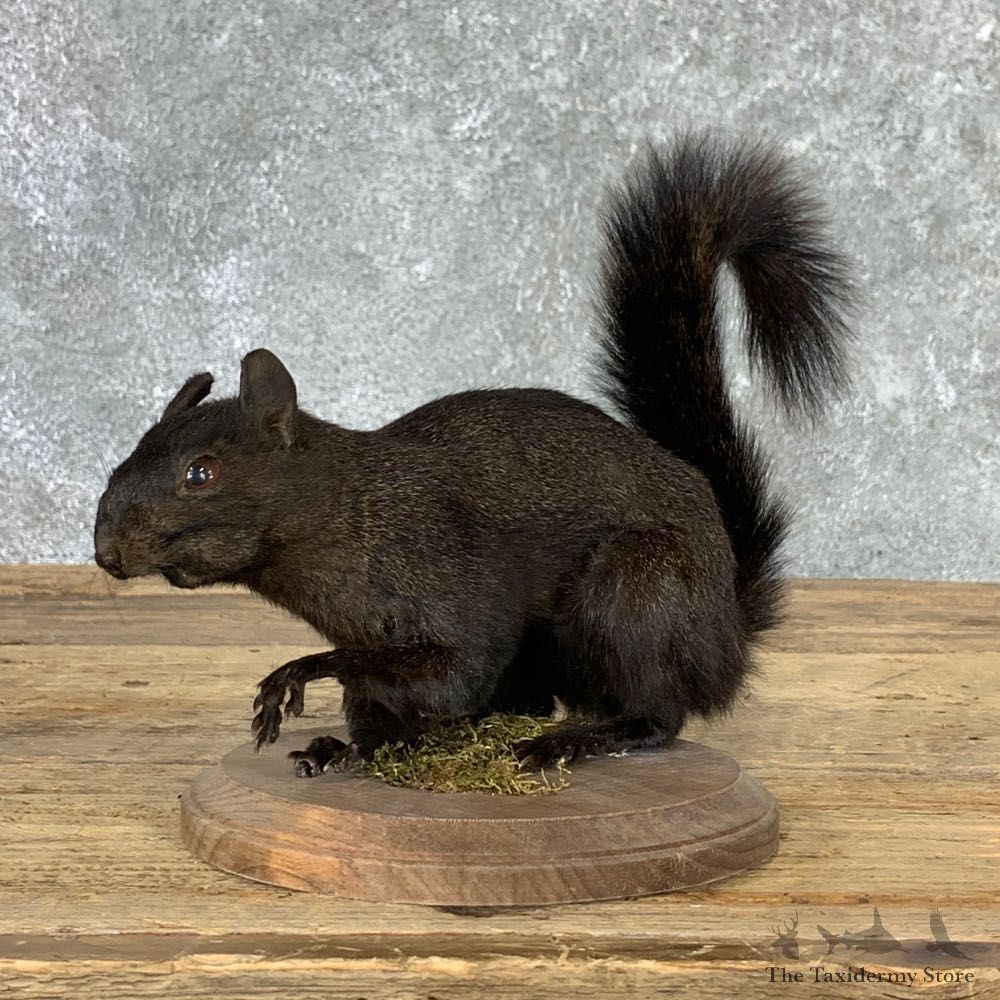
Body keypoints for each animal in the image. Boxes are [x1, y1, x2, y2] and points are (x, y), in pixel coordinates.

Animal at [94, 134, 853, 777]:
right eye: (128, 454)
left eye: (202, 473)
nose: (106, 551)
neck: (348, 513)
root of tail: (728, 632)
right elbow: (387, 708)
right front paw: (350, 748)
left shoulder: (446, 574)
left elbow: (453, 669)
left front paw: (301, 672)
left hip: (639, 587)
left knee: (657, 712)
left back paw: (574, 741)